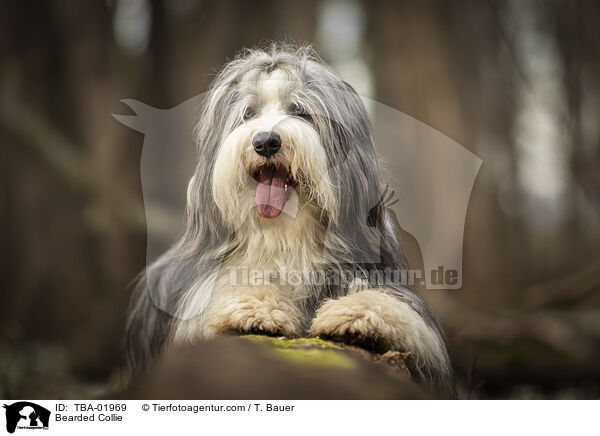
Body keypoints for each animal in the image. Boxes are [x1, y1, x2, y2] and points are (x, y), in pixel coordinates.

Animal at [126, 45, 454, 398]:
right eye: (248, 113)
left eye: (299, 110)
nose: (266, 141)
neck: (287, 234)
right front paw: (256, 309)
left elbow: (399, 309)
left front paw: (356, 314)